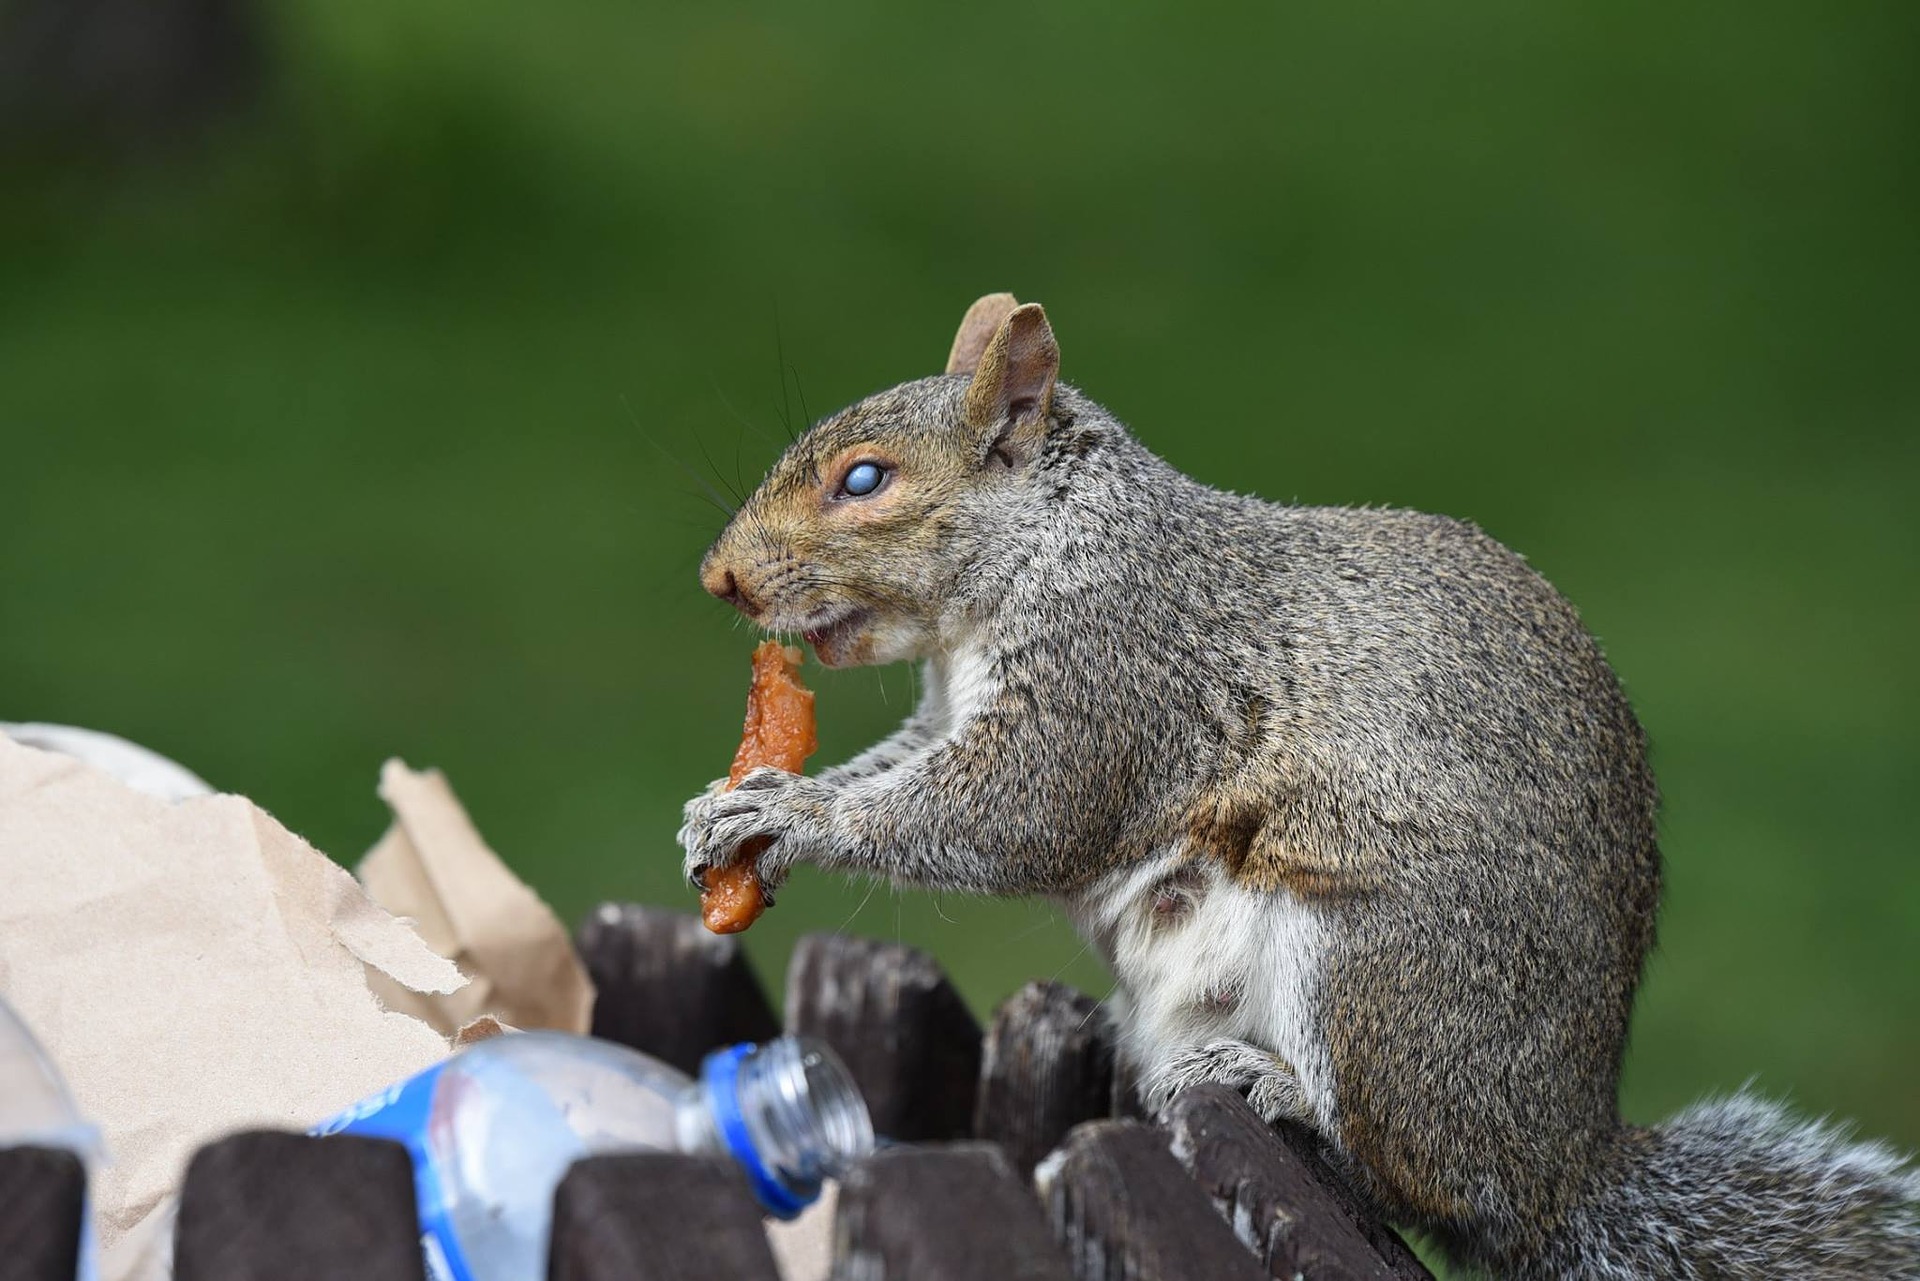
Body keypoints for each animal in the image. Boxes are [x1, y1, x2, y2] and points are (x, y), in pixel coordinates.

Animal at [679, 295, 1920, 1275]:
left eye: (865, 481)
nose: (720, 579)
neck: (1053, 546)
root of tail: (1560, 1165)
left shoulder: (1114, 680)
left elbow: (1012, 815)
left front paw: (789, 811)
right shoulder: (946, 710)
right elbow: (899, 768)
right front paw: (729, 805)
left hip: (1379, 976)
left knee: (1398, 1172)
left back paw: (1268, 1084)